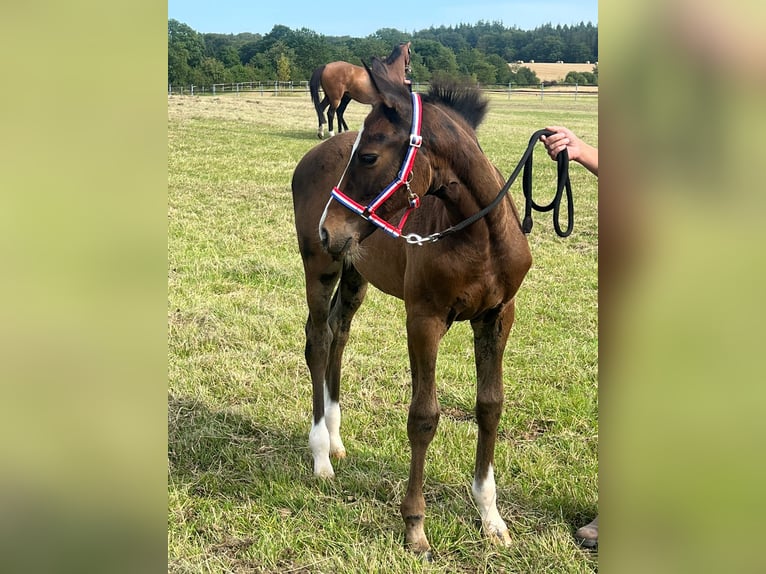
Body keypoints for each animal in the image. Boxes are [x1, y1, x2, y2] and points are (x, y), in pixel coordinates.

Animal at [294, 58, 536, 560]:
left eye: (368, 156)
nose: (329, 228)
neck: (479, 235)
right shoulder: (423, 319)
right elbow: (424, 417)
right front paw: (415, 527)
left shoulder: (498, 317)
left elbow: (490, 406)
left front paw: (491, 518)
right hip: (321, 267)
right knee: (318, 340)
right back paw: (322, 455)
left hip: (354, 272)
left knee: (339, 332)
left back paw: (337, 439)